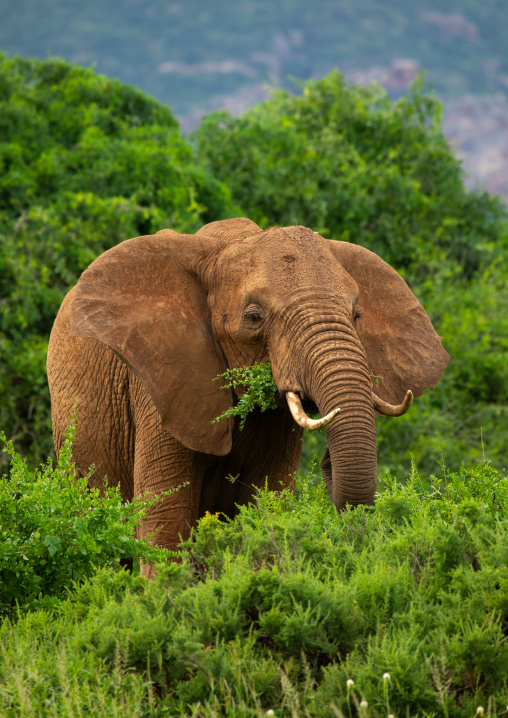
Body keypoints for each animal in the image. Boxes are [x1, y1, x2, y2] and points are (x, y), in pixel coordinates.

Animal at [47, 217, 449, 574]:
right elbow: (166, 516)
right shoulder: (158, 381)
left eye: (357, 314)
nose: (326, 461)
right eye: (254, 317)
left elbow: (267, 503)